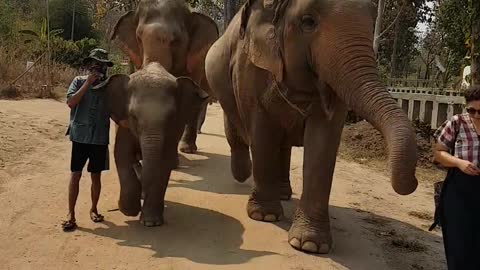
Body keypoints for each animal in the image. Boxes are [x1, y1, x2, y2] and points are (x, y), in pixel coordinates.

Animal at [204, 0, 418, 253]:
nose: (414, 182)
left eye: (371, 21)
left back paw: (284, 193)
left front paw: (310, 245)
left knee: (282, 145)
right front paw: (264, 217)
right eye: (308, 22)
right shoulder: (250, 65)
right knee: (237, 130)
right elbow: (261, 129)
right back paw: (245, 174)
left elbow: (324, 137)